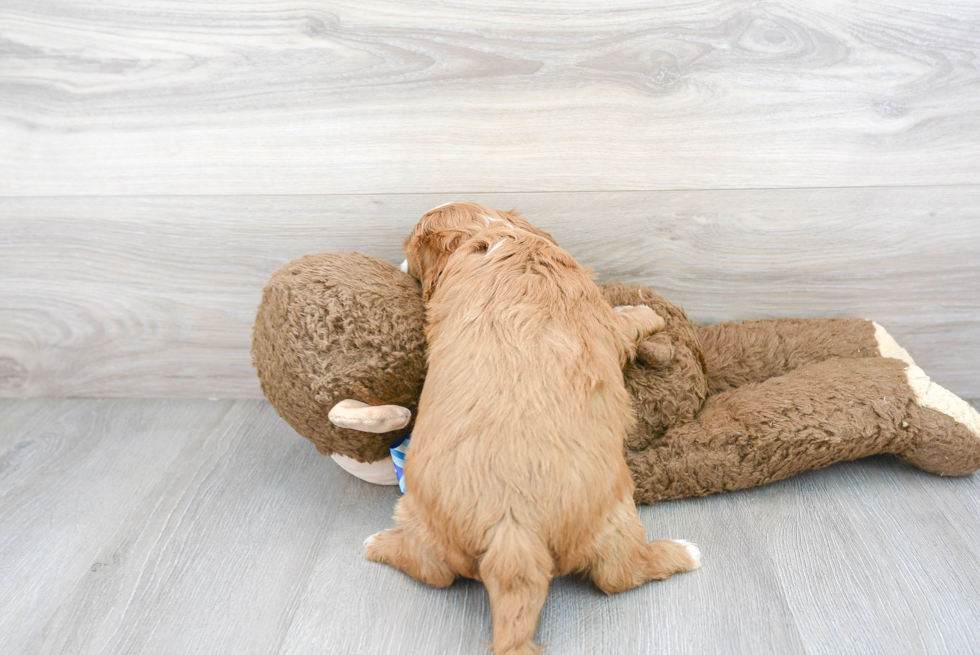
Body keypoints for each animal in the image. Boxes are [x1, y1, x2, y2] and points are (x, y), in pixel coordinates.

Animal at [366, 202, 696, 652]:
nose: (399, 264)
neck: (492, 236)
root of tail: (513, 532)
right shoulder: (606, 321)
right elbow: (626, 321)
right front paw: (646, 311)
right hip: (615, 514)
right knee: (620, 574)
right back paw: (684, 551)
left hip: (426, 518)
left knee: (434, 571)